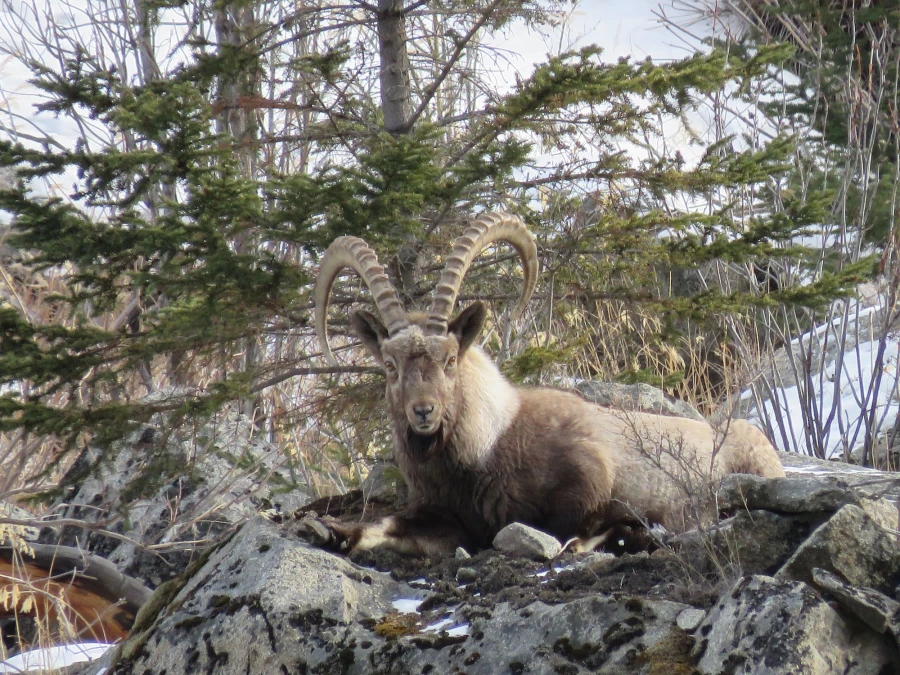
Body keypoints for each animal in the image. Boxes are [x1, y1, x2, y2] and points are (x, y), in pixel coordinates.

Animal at [300, 211, 780, 556]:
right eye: (390, 365)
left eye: (451, 359)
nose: (423, 412)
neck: (490, 443)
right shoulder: (446, 516)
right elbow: (389, 525)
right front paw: (331, 532)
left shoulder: (589, 481)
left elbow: (569, 529)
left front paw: (622, 531)